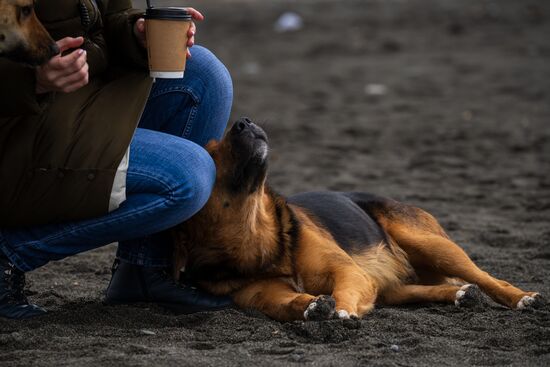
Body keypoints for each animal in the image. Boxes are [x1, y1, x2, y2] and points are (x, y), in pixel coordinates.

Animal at [174, 118, 548, 322]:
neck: (259, 238)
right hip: (393, 284)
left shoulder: (348, 272)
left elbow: (343, 290)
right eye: (210, 154)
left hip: (429, 243)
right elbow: (288, 302)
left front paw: (340, 310)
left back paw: (522, 297)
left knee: (487, 277)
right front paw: (311, 306)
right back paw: (458, 295)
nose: (245, 121)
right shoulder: (262, 296)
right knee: (419, 288)